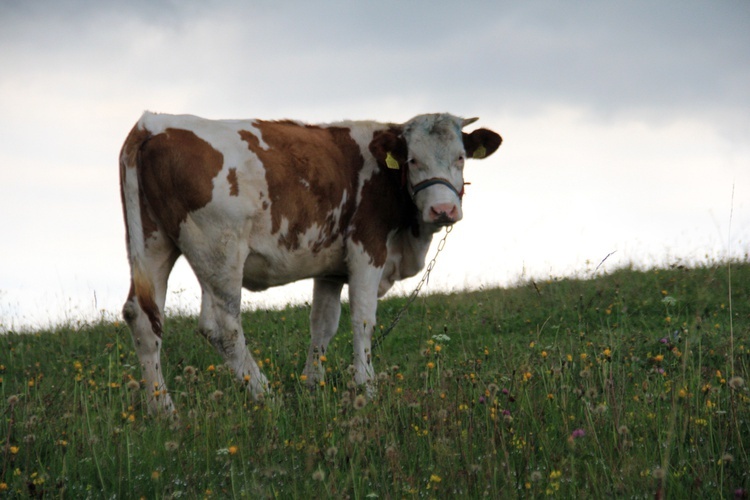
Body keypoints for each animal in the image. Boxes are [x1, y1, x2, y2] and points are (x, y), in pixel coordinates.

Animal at [120, 112, 502, 414]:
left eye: (460, 158)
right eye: (412, 161)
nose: (443, 210)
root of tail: (152, 124)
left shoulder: (331, 268)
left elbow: (323, 324)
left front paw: (312, 386)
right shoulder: (367, 248)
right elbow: (363, 320)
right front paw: (366, 387)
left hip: (155, 245)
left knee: (143, 319)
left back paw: (163, 410)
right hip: (219, 252)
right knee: (223, 327)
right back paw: (266, 395)